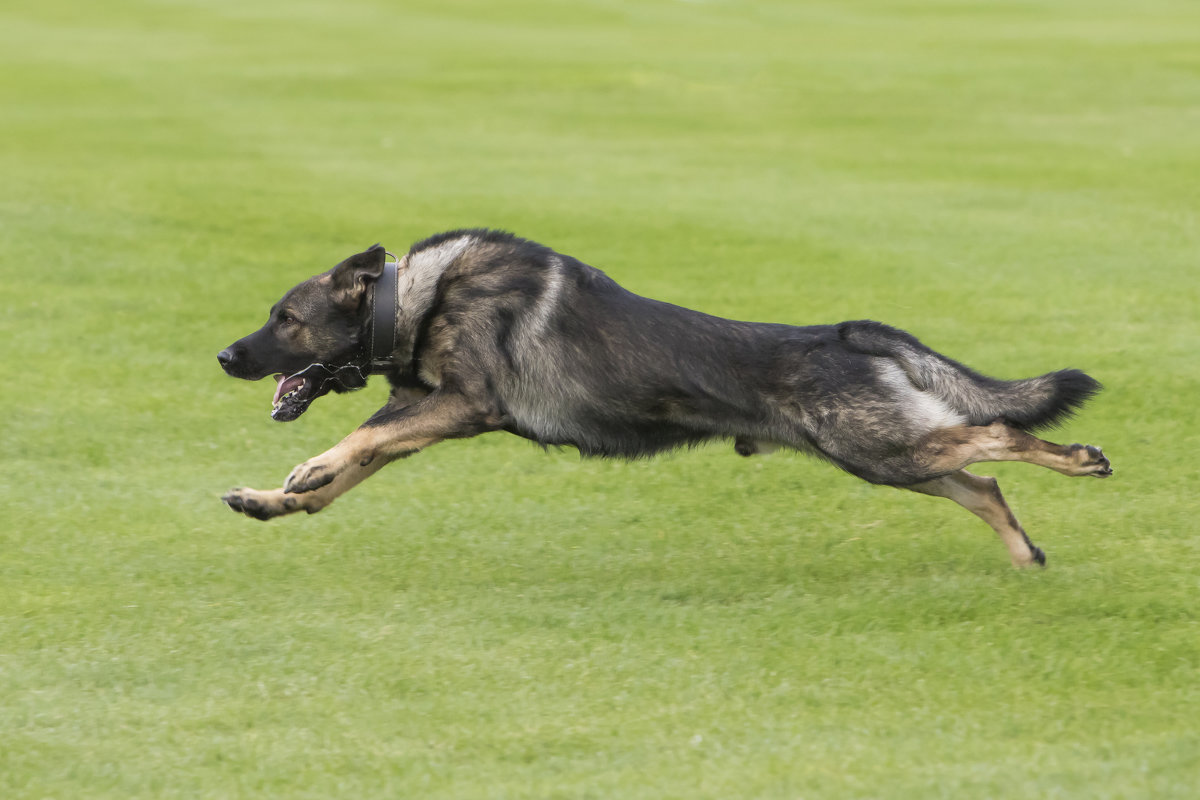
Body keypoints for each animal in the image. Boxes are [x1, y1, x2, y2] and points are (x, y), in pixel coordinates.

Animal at [218, 230, 1104, 568]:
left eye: (284, 318)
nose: (225, 356)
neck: (411, 297)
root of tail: (844, 333)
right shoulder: (428, 418)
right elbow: (344, 479)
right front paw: (273, 500)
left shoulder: (462, 407)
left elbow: (354, 444)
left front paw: (302, 471)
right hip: (886, 457)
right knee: (983, 482)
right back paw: (1026, 554)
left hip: (880, 447)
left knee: (999, 434)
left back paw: (1079, 459)